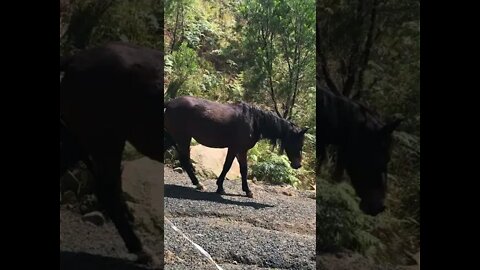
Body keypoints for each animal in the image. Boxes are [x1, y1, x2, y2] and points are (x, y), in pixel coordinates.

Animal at [164, 96, 308, 197]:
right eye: (298, 143)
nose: (298, 165)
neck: (254, 121)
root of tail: (169, 103)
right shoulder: (234, 148)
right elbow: (227, 166)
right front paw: (220, 187)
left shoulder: (242, 150)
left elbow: (244, 169)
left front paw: (247, 191)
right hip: (183, 138)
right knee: (185, 160)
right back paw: (198, 184)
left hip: (173, 137)